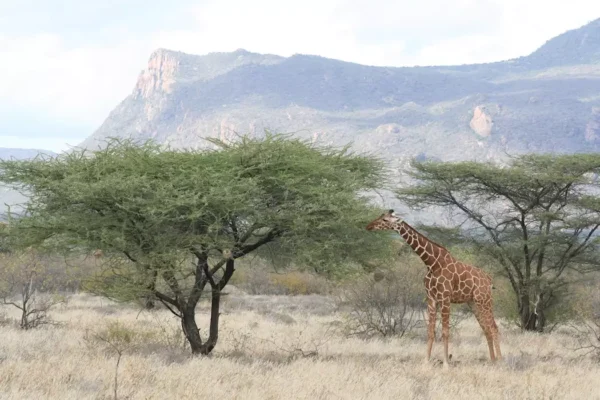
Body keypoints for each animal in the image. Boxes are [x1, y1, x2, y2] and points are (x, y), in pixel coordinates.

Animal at [366, 211, 502, 368]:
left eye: (385, 220)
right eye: (380, 216)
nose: (369, 226)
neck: (431, 263)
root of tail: (489, 279)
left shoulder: (445, 297)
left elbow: (445, 332)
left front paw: (446, 364)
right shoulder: (431, 298)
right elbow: (430, 331)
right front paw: (426, 361)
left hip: (484, 299)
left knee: (493, 327)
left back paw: (500, 360)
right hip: (473, 302)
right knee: (486, 328)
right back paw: (492, 360)